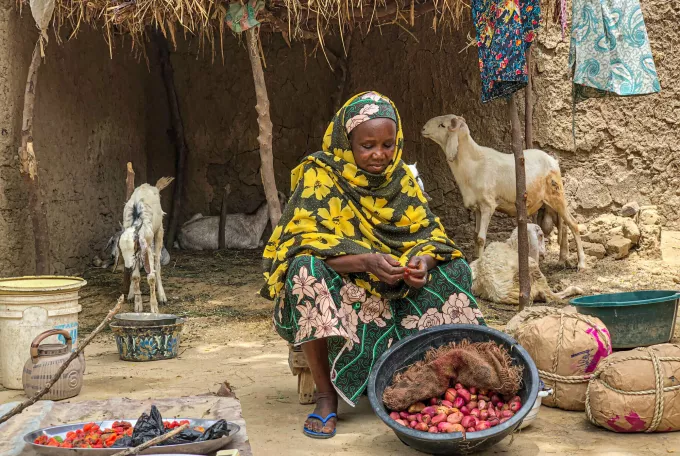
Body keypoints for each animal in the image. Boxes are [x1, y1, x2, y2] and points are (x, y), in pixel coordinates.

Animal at [115, 177, 173, 314]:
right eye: (121, 250)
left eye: (134, 247)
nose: (128, 267)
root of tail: (148, 185)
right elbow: (136, 277)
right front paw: (138, 305)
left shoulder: (146, 247)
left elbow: (151, 276)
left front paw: (154, 308)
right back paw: (131, 294)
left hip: (159, 231)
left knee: (157, 264)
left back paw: (162, 296)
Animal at [420, 116, 584, 268]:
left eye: (442, 125)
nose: (423, 129)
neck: (473, 164)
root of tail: (553, 160)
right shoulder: (477, 207)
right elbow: (475, 236)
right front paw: (475, 260)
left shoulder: (488, 205)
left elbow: (481, 239)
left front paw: (480, 263)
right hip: (549, 202)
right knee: (563, 226)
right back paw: (562, 259)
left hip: (556, 195)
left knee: (573, 224)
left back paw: (581, 263)